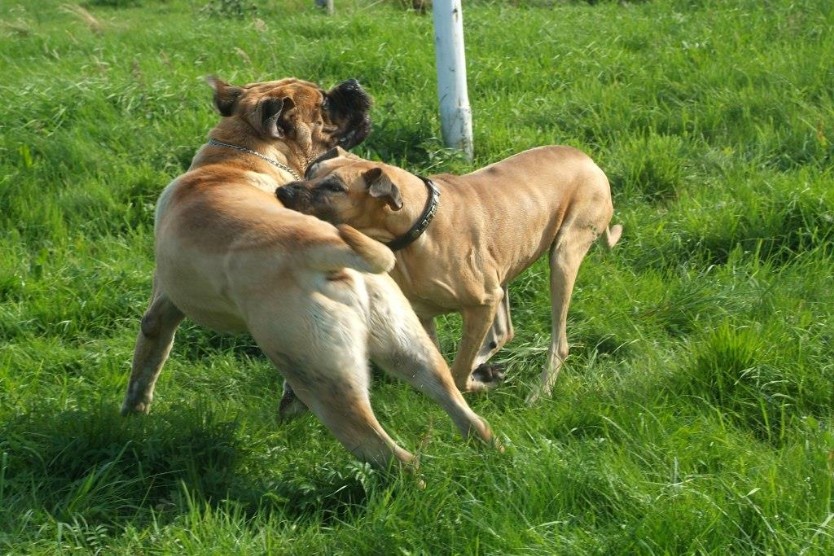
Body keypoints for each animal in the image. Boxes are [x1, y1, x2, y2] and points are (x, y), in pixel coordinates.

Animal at [120, 77, 490, 470]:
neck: (238, 156)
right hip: (410, 350)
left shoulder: (162, 307)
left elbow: (145, 367)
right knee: (467, 414)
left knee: (392, 455)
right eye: (325, 102)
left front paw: (133, 414)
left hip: (325, 382)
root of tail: (328, 253)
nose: (351, 83)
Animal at [276, 146, 620, 402]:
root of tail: (588, 160)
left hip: (563, 256)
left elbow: (457, 373)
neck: (416, 226)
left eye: (334, 187)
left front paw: (478, 382)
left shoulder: (481, 303)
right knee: (504, 332)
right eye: (310, 172)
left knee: (557, 343)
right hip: (504, 267)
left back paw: (539, 391)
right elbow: (444, 366)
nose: (282, 191)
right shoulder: (427, 315)